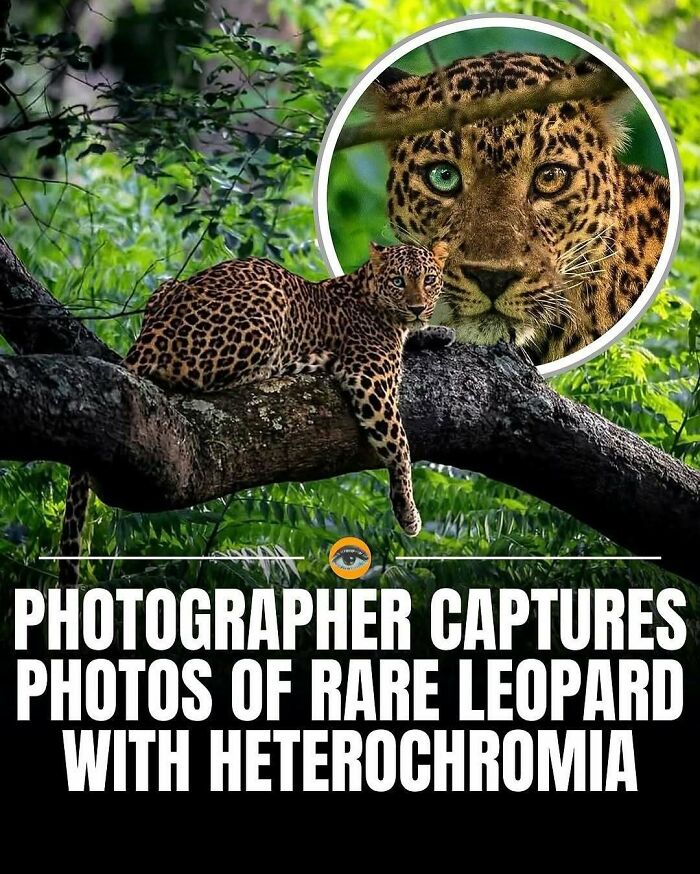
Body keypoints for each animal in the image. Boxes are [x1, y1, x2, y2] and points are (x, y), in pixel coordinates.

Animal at [58, 241, 449, 586]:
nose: (417, 307)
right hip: (268, 305)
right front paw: (409, 513)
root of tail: (151, 336)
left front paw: (438, 331)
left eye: (429, 279)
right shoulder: (368, 378)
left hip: (165, 288)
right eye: (398, 280)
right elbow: (399, 445)